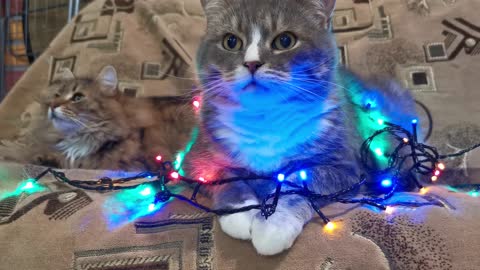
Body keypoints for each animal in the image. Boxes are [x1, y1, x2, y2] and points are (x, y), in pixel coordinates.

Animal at [186, 0, 418, 255]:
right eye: (231, 41)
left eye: (285, 40)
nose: (251, 63)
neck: (265, 118)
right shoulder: (197, 158)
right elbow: (224, 177)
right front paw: (240, 213)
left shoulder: (345, 169)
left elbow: (300, 183)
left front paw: (274, 225)